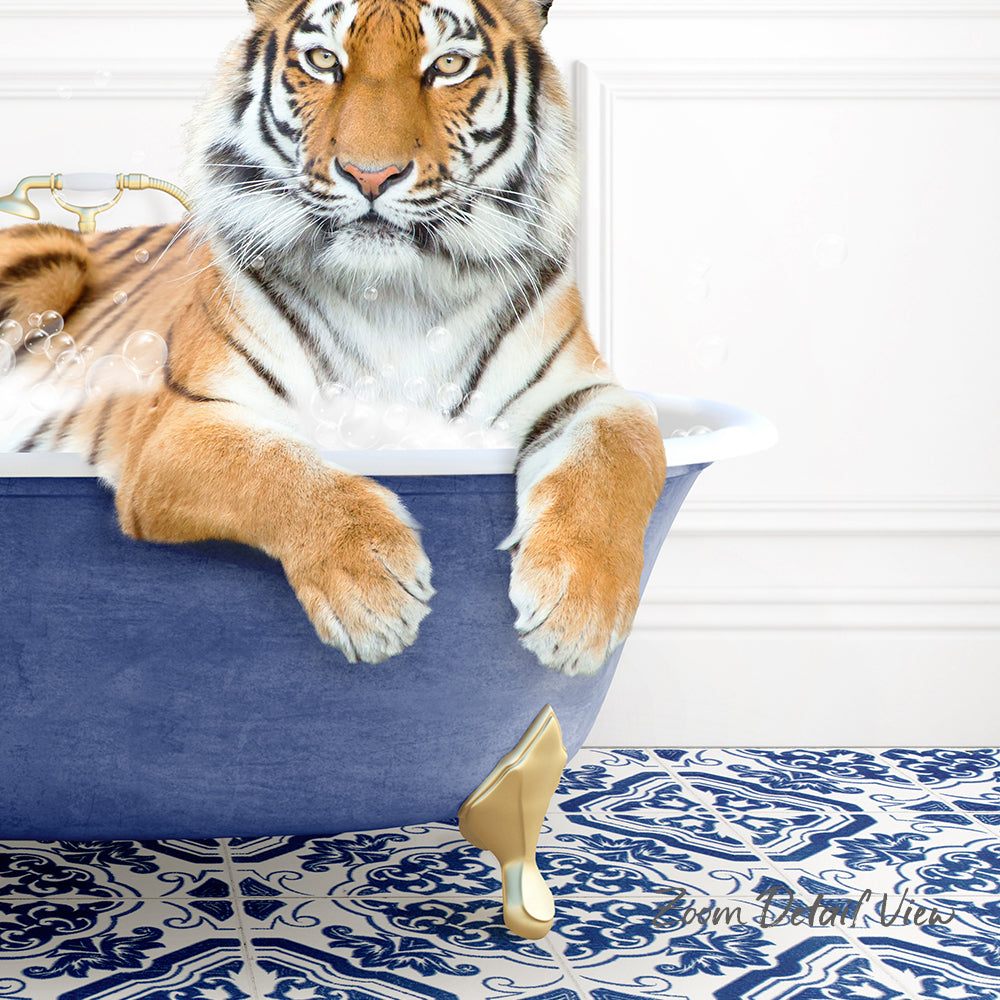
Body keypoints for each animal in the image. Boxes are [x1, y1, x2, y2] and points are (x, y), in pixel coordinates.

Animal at [0, 0, 667, 676]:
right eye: (324, 60)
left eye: (448, 64)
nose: (371, 176)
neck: (395, 295)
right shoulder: (180, 423)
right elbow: (274, 467)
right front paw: (373, 592)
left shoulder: (587, 393)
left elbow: (622, 452)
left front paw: (578, 610)